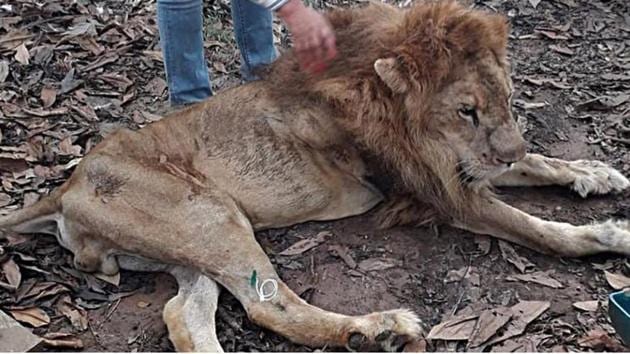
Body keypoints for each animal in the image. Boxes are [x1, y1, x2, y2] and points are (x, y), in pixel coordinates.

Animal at [1, 0, 630, 352]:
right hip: (209, 214)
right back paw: (378, 329)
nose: (504, 144)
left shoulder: (458, 165)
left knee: (185, 317)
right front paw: (608, 234)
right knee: (268, 305)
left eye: (506, 98)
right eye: (466, 110)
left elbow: (535, 161)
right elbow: (535, 227)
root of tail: (65, 187)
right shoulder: (437, 188)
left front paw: (597, 174)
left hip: (188, 247)